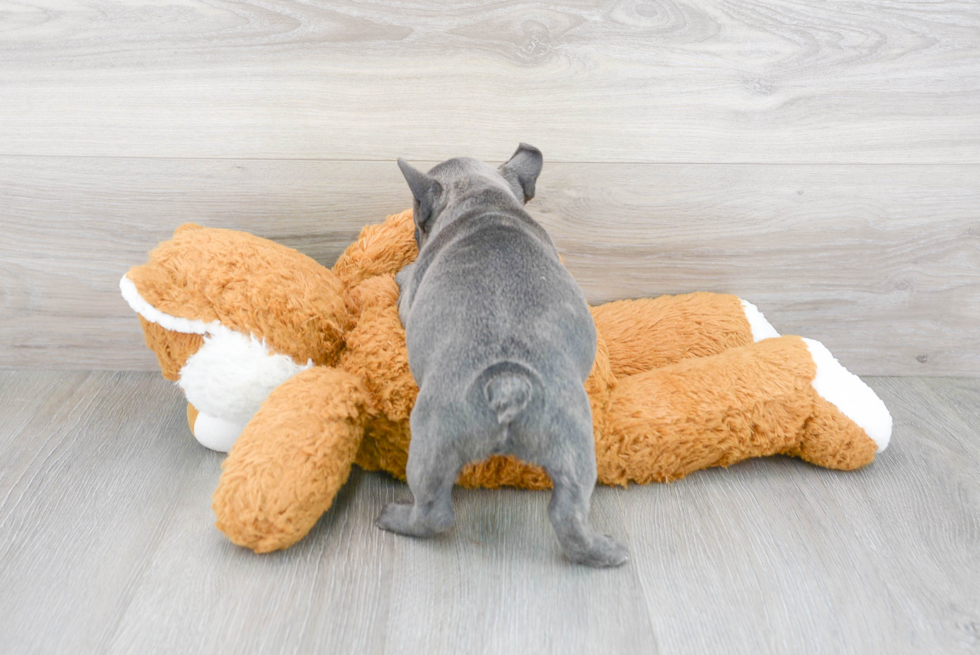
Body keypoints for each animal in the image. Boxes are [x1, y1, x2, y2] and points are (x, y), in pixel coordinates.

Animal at [376, 145, 628, 568]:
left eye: (416, 222)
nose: (415, 233)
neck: (483, 201)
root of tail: (508, 382)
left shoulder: (410, 303)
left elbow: (406, 283)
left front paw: (403, 271)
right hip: (573, 439)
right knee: (570, 513)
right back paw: (607, 551)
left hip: (431, 436)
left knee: (433, 512)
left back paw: (394, 517)